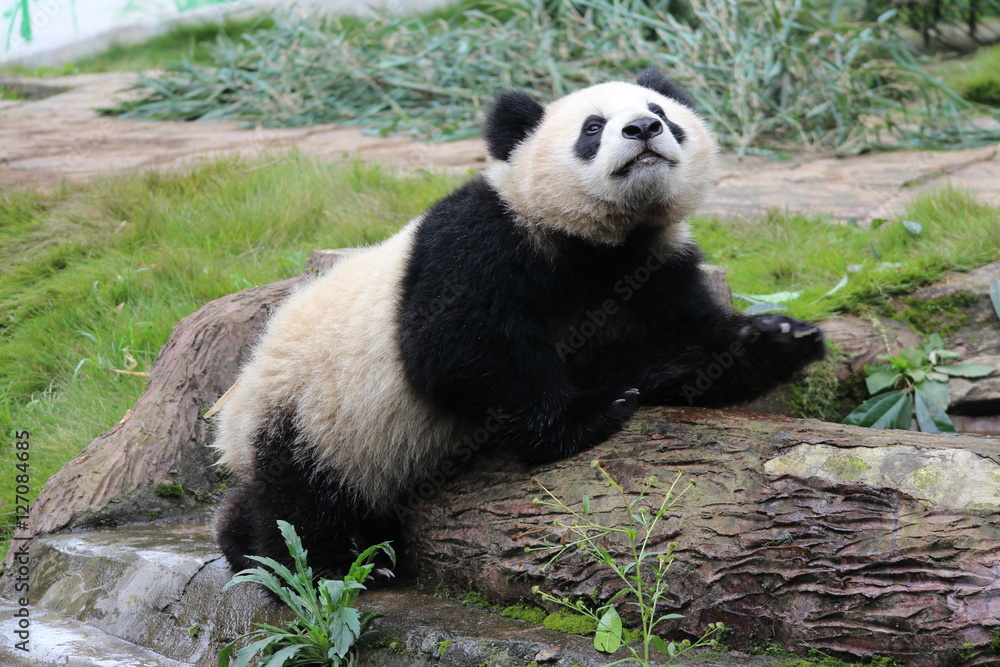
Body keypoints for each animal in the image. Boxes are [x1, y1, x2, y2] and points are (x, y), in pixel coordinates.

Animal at [212, 68, 825, 579]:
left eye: (661, 110)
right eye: (593, 128)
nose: (644, 128)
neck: (601, 243)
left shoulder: (655, 266)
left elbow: (676, 349)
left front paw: (780, 339)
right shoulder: (484, 238)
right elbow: (461, 347)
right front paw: (589, 413)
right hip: (311, 412)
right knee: (302, 500)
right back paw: (326, 561)